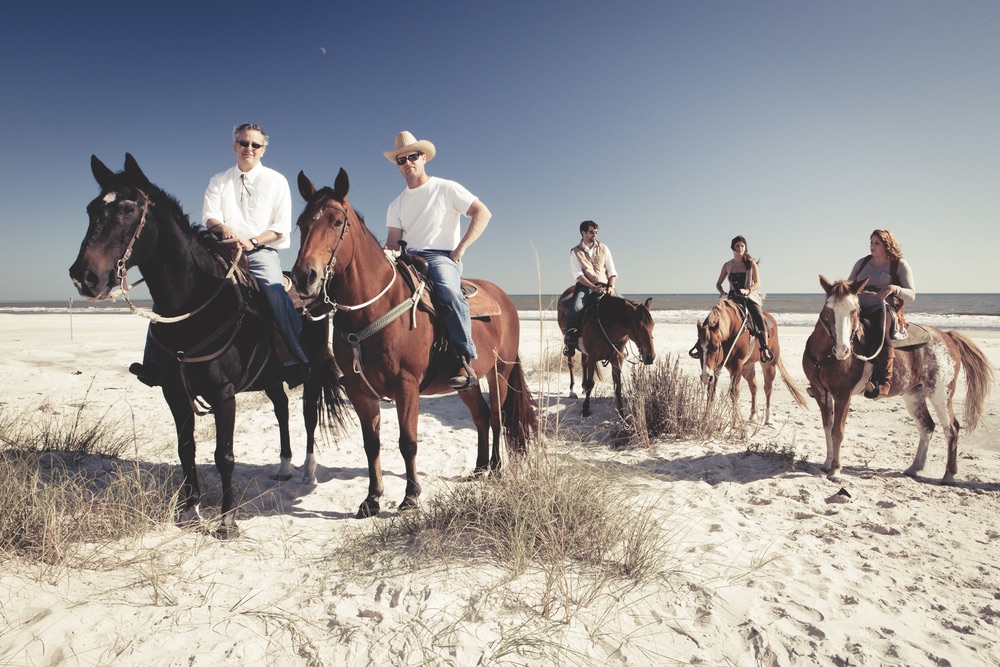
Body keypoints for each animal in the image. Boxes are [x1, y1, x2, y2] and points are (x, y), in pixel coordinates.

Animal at [70, 154, 344, 540]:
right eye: (92, 209)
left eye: (126, 209)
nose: (85, 277)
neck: (197, 302)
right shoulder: (174, 392)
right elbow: (186, 450)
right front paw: (188, 510)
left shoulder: (223, 394)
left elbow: (223, 456)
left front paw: (227, 521)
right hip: (271, 378)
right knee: (281, 410)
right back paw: (284, 467)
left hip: (314, 370)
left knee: (307, 414)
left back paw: (307, 472)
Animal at [290, 170, 540, 520]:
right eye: (301, 223)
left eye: (337, 222)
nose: (303, 277)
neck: (372, 309)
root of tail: (504, 298)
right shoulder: (359, 390)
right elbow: (371, 444)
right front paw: (372, 499)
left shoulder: (406, 385)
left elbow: (407, 441)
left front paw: (411, 496)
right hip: (465, 383)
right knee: (480, 416)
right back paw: (479, 468)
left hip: (499, 371)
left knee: (496, 417)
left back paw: (496, 468)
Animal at [556, 286, 656, 418]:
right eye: (638, 326)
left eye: (653, 325)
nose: (650, 356)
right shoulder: (593, 357)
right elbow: (591, 383)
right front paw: (585, 410)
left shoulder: (617, 358)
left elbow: (618, 386)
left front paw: (622, 414)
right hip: (569, 343)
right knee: (571, 363)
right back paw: (572, 391)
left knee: (583, 362)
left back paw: (583, 386)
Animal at [692, 298, 808, 426]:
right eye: (698, 348)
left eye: (716, 347)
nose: (705, 376)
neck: (733, 329)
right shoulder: (716, 368)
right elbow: (711, 392)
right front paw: (706, 418)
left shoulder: (736, 365)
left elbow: (734, 392)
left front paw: (735, 421)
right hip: (747, 367)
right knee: (754, 387)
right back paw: (753, 415)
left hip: (769, 365)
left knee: (768, 389)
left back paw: (768, 418)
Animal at [804, 276, 992, 486]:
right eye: (828, 310)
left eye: (854, 311)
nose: (842, 350)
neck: (824, 355)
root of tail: (947, 336)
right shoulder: (821, 392)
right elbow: (827, 427)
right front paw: (827, 463)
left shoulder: (843, 395)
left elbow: (838, 431)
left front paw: (836, 470)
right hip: (914, 394)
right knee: (927, 427)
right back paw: (914, 468)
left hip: (941, 394)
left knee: (951, 428)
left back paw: (949, 475)